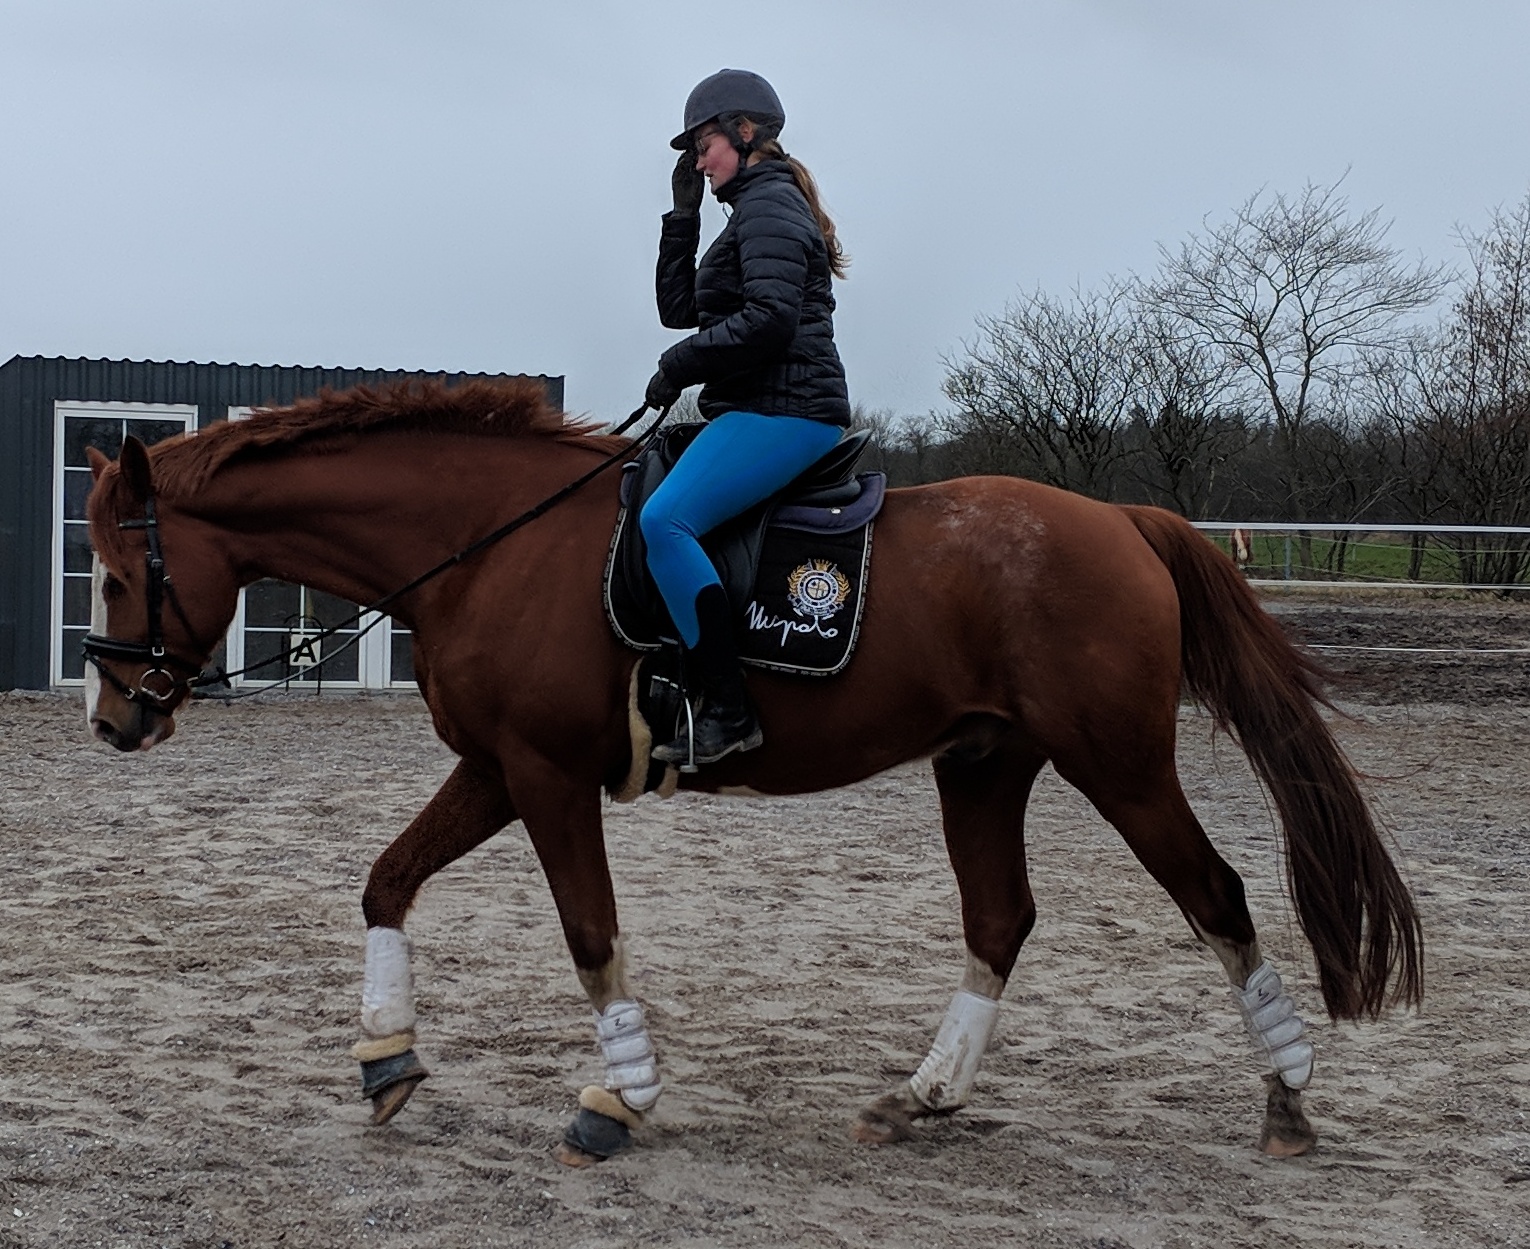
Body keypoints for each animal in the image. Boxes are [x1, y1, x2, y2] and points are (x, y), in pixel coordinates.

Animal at [82, 377, 1422, 1164]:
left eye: (113, 571)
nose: (111, 720)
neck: (489, 545)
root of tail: (1126, 523)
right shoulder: (498, 769)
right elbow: (386, 880)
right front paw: (387, 1058)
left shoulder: (546, 777)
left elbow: (589, 934)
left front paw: (617, 1100)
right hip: (986, 765)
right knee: (1001, 919)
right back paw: (923, 1096)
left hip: (1122, 765)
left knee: (1217, 898)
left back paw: (1288, 1095)